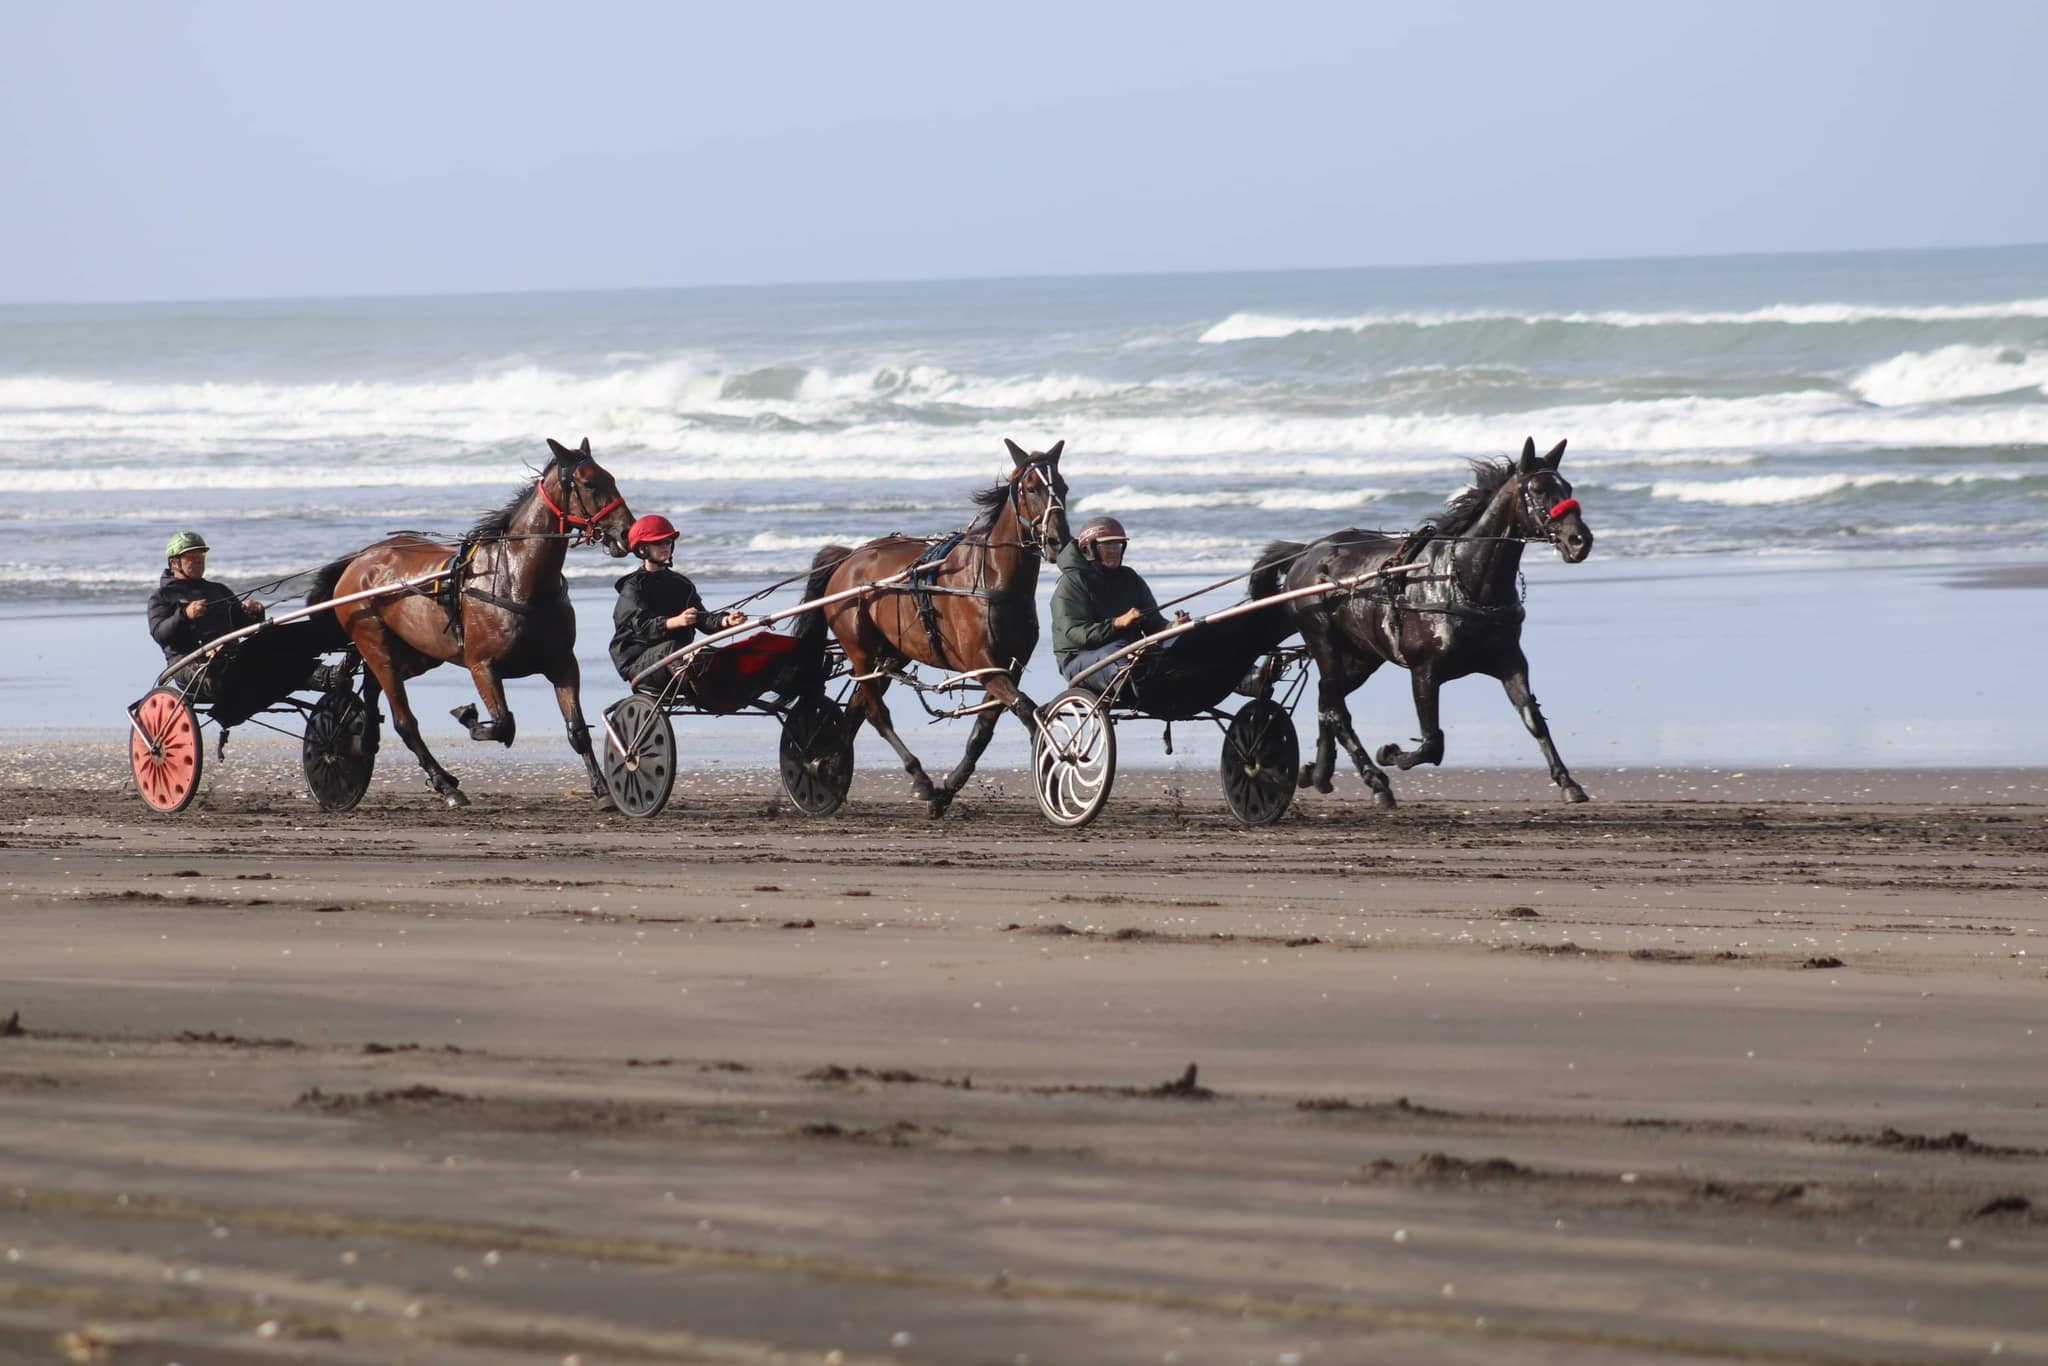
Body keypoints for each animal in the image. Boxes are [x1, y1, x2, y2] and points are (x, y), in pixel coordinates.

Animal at [309, 437, 635, 808]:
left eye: (611, 477)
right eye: (589, 483)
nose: (627, 531)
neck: (516, 578)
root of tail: (359, 560)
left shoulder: (562, 663)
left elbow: (576, 730)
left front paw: (604, 791)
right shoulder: (482, 665)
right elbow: (504, 724)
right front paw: (467, 714)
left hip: (417, 653)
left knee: (374, 689)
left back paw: (367, 744)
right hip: (376, 643)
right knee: (404, 719)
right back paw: (442, 783)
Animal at [798, 438, 1070, 817]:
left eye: (1063, 487)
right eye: (1032, 488)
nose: (1060, 539)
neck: (992, 578)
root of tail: (849, 558)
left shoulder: (1008, 667)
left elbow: (983, 732)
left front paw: (948, 789)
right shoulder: (983, 664)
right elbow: (1028, 711)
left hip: (890, 655)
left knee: (855, 711)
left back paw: (827, 767)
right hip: (861, 651)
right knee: (876, 714)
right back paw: (915, 777)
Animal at [1267, 436, 1594, 807]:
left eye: (1567, 487)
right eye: (1538, 490)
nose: (1579, 541)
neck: (1460, 580)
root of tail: (1307, 552)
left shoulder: (1510, 660)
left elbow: (1533, 719)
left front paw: (1568, 782)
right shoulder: (1424, 671)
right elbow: (1431, 743)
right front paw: (1390, 753)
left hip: (1361, 657)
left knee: (1328, 702)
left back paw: (1320, 773)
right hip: (1323, 641)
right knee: (1337, 710)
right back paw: (1375, 780)